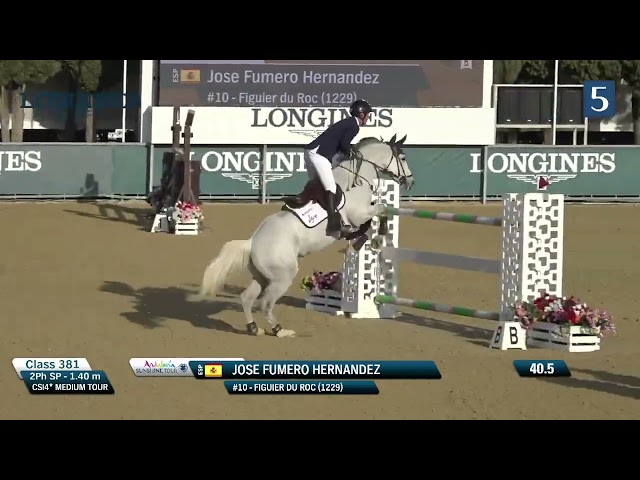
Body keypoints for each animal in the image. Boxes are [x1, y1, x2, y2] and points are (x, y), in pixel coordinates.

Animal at [197, 135, 414, 338]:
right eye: (403, 158)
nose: (410, 181)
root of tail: (252, 242)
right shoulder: (358, 214)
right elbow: (380, 211)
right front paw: (373, 238)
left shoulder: (361, 214)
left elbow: (375, 216)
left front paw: (364, 240)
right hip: (283, 276)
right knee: (265, 303)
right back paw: (280, 331)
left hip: (262, 277)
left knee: (247, 298)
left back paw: (253, 328)